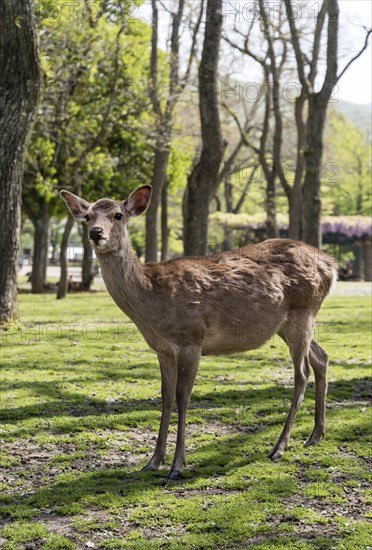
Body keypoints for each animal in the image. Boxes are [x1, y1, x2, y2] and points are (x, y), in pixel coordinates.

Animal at [60, 187, 338, 484]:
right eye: (87, 216)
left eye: (118, 215)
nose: (96, 232)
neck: (151, 301)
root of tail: (331, 266)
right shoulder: (162, 348)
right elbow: (166, 397)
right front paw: (153, 461)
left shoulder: (191, 339)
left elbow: (183, 398)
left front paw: (177, 465)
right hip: (287, 323)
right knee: (322, 357)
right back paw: (316, 435)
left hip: (303, 310)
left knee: (302, 373)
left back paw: (279, 447)